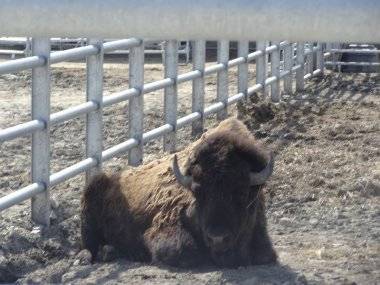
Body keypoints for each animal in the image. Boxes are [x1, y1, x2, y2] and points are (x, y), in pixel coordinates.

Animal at [81, 117, 276, 266]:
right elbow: (184, 251)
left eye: (242, 193)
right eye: (197, 193)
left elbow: (265, 255)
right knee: (90, 246)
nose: (217, 238)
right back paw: (105, 252)